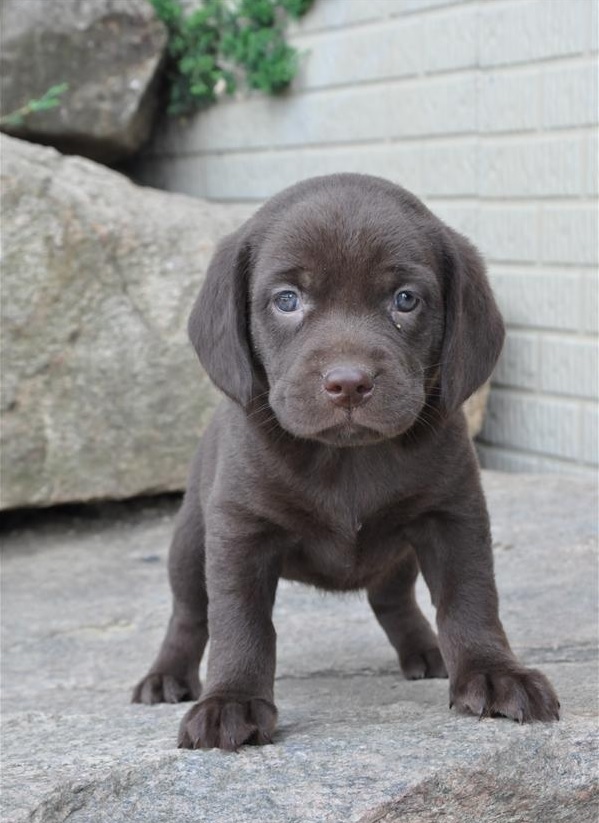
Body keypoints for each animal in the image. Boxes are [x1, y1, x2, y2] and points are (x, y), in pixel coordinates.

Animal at [134, 175, 560, 752]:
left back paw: (424, 649)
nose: (349, 382)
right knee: (188, 613)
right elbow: (238, 621)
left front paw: (494, 674)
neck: (346, 459)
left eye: (405, 299)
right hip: (189, 541)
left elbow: (470, 597)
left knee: (391, 599)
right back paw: (166, 676)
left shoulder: (454, 514)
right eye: (287, 300)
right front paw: (232, 700)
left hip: (398, 555)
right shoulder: (241, 530)